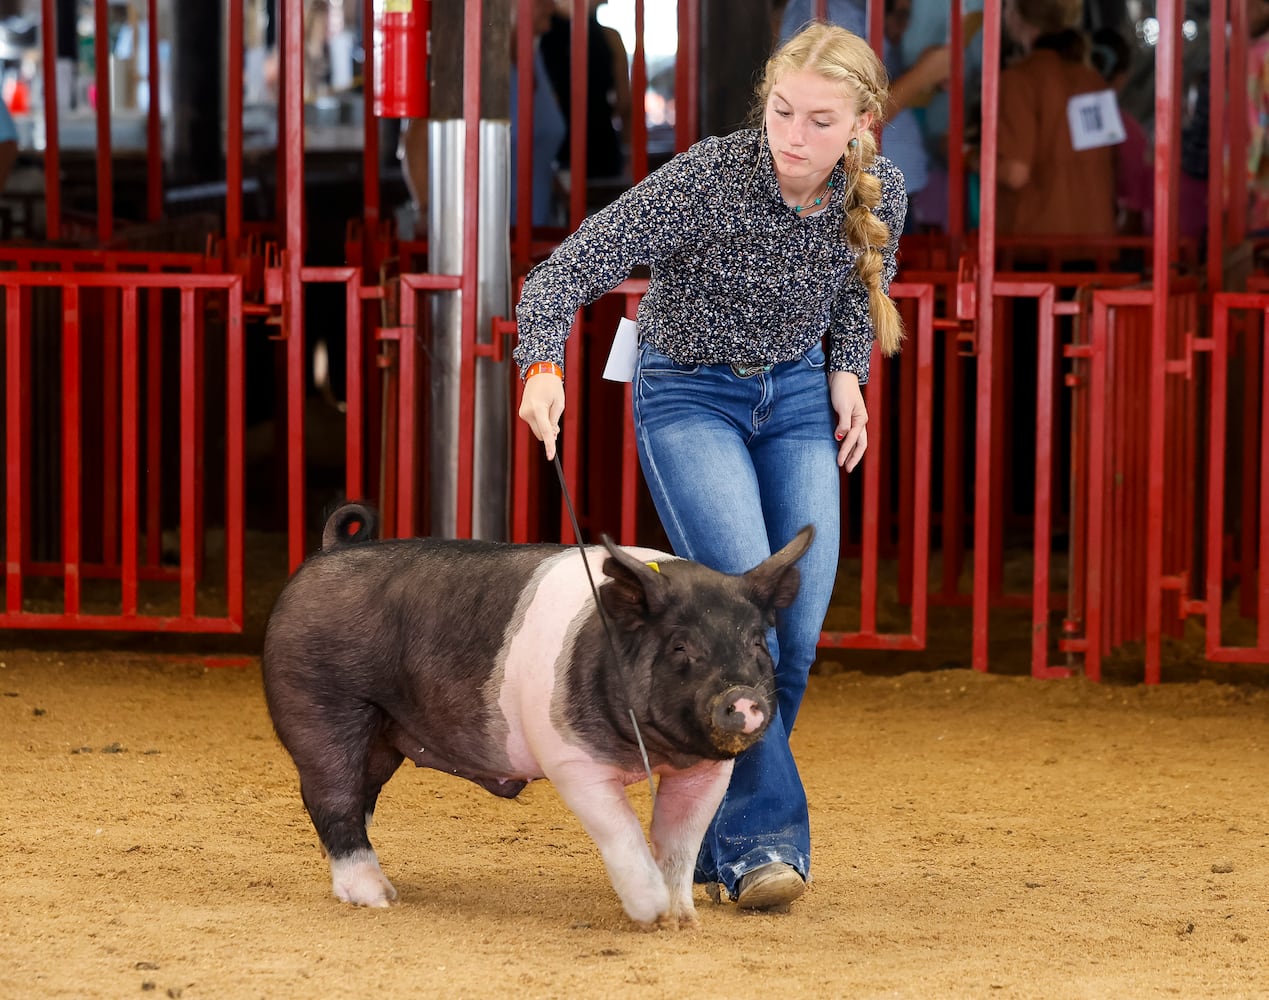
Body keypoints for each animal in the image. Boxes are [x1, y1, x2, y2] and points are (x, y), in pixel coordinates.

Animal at [260, 507, 812, 928]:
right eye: (681, 646)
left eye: (756, 642)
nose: (742, 698)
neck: (652, 753)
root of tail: (325, 554)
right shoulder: (572, 760)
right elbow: (623, 833)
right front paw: (653, 914)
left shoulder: (707, 770)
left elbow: (678, 842)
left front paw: (684, 920)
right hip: (320, 703)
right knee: (330, 796)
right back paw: (378, 897)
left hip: (383, 733)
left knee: (359, 796)